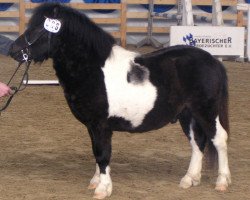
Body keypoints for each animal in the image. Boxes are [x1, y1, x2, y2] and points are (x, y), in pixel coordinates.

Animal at [8, 3, 231, 200]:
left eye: (38, 28)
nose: (13, 50)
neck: (93, 69)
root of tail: (213, 61)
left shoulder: (100, 125)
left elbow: (102, 153)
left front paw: (103, 189)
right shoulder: (92, 126)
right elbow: (96, 152)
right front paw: (96, 181)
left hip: (206, 112)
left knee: (219, 139)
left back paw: (222, 182)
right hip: (187, 114)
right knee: (197, 142)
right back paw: (189, 179)